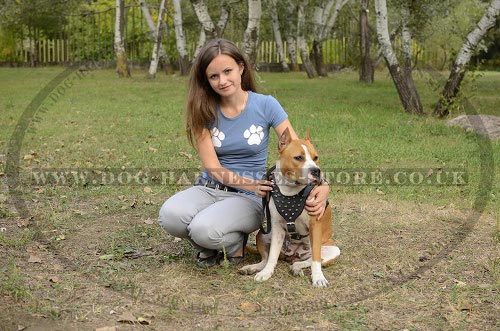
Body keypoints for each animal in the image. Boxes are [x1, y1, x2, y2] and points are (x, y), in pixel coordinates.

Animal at [239, 128, 340, 286]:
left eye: (315, 157)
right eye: (298, 157)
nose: (316, 171)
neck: (291, 190)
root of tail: (293, 254)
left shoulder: (315, 225)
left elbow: (316, 259)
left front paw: (318, 277)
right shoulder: (277, 227)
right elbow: (272, 255)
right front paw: (267, 273)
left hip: (333, 249)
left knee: (312, 259)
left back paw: (297, 267)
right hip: (263, 234)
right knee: (266, 258)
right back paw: (253, 268)